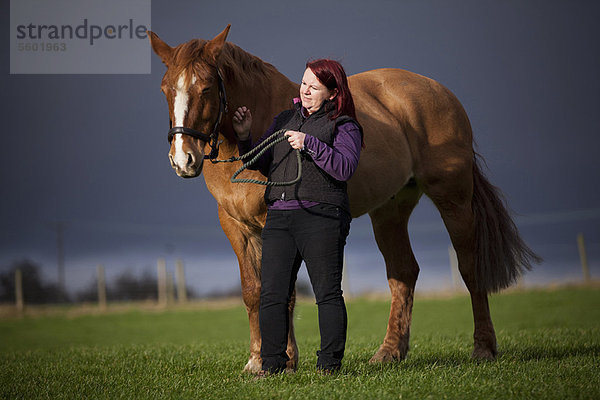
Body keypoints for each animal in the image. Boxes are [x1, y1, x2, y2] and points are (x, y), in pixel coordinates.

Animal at [149, 26, 540, 374]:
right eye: (165, 88)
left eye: (206, 88)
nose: (182, 159)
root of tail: (438, 91)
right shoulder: (235, 226)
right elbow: (254, 291)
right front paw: (257, 360)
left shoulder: (275, 222)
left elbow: (285, 292)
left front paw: (285, 361)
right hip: (390, 211)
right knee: (403, 273)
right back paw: (389, 352)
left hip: (453, 199)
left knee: (470, 268)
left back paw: (483, 348)